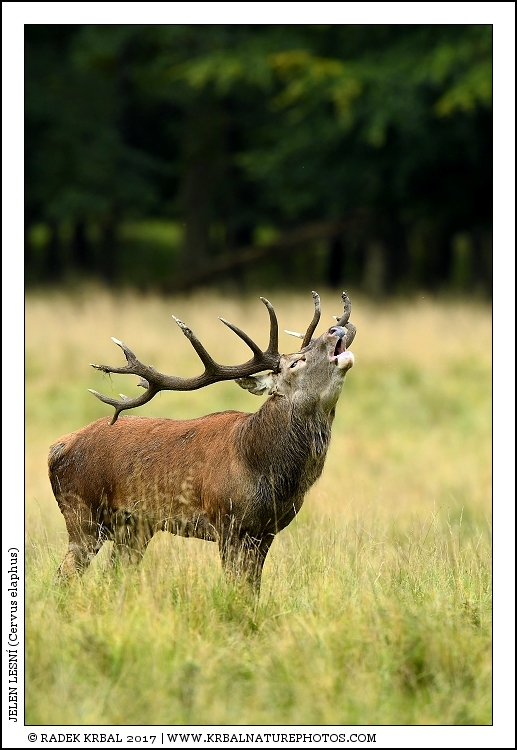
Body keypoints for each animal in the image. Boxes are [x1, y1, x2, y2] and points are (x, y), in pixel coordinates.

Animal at [48, 291, 356, 593]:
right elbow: (236, 586)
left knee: (113, 574)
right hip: (82, 513)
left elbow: (253, 589)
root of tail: (57, 448)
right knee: (64, 575)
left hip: (134, 526)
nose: (336, 329)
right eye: (295, 363)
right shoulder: (227, 521)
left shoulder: (267, 530)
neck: (262, 467)